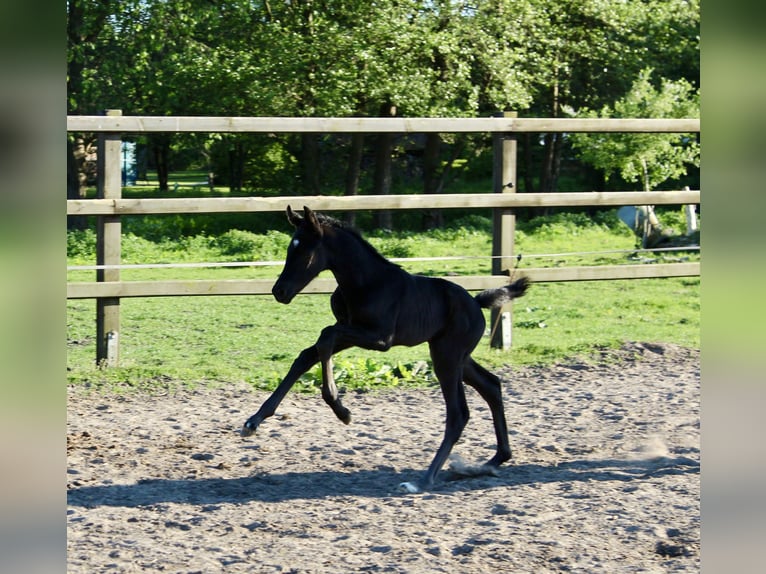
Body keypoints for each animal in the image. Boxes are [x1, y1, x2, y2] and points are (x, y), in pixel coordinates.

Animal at [243, 207, 532, 496]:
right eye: (290, 248)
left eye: (304, 251)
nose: (279, 291)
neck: (366, 283)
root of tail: (475, 302)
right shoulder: (350, 329)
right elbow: (308, 354)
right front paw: (253, 422)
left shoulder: (379, 338)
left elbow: (326, 336)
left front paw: (341, 410)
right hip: (457, 356)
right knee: (491, 385)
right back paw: (494, 460)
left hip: (447, 358)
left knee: (459, 413)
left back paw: (423, 481)